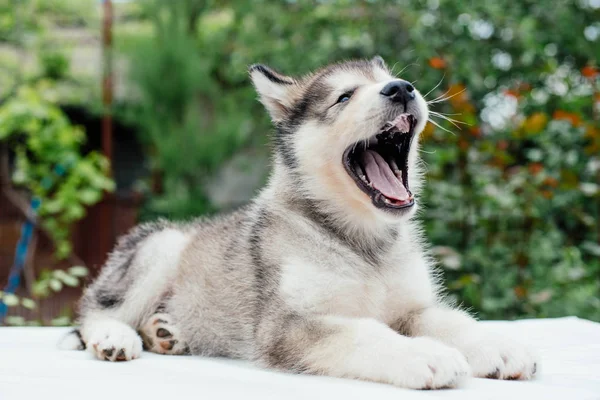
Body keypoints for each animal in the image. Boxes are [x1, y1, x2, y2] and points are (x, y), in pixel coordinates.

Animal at [63, 57, 536, 390]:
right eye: (344, 97)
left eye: (394, 79)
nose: (402, 88)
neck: (363, 242)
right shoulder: (288, 324)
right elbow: (364, 332)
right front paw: (424, 356)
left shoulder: (413, 306)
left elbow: (452, 321)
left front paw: (496, 346)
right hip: (160, 246)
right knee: (95, 310)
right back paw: (117, 337)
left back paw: (165, 332)